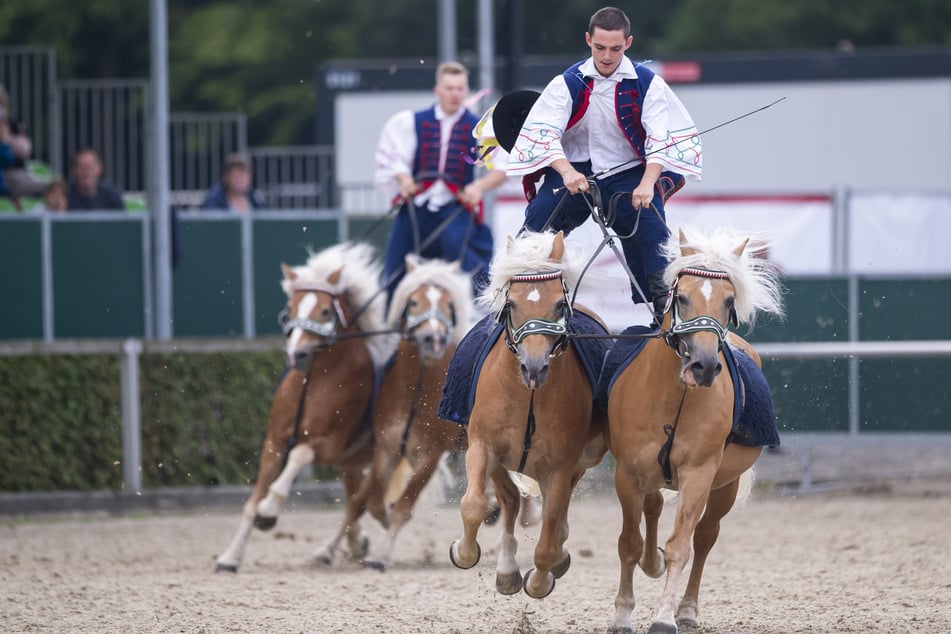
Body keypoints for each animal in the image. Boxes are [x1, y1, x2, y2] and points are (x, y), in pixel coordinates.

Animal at [217, 239, 394, 572]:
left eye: (325, 311)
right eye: (291, 309)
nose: (297, 354)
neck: (314, 379)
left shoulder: (330, 444)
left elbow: (298, 456)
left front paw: (269, 510)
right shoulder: (274, 441)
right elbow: (252, 501)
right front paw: (230, 556)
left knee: (360, 502)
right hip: (354, 462)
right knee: (357, 498)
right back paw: (354, 544)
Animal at [316, 254, 472, 572]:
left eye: (448, 305)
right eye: (414, 302)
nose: (432, 339)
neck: (416, 388)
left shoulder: (430, 455)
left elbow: (403, 505)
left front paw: (381, 555)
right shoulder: (387, 448)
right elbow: (370, 501)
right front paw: (336, 548)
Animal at [608, 225, 784, 628]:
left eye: (729, 300)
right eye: (682, 297)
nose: (703, 365)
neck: (675, 397)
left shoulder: (698, 473)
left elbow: (681, 546)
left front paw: (664, 616)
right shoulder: (627, 473)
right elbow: (628, 542)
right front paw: (623, 614)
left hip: (725, 486)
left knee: (705, 536)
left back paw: (687, 608)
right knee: (654, 507)